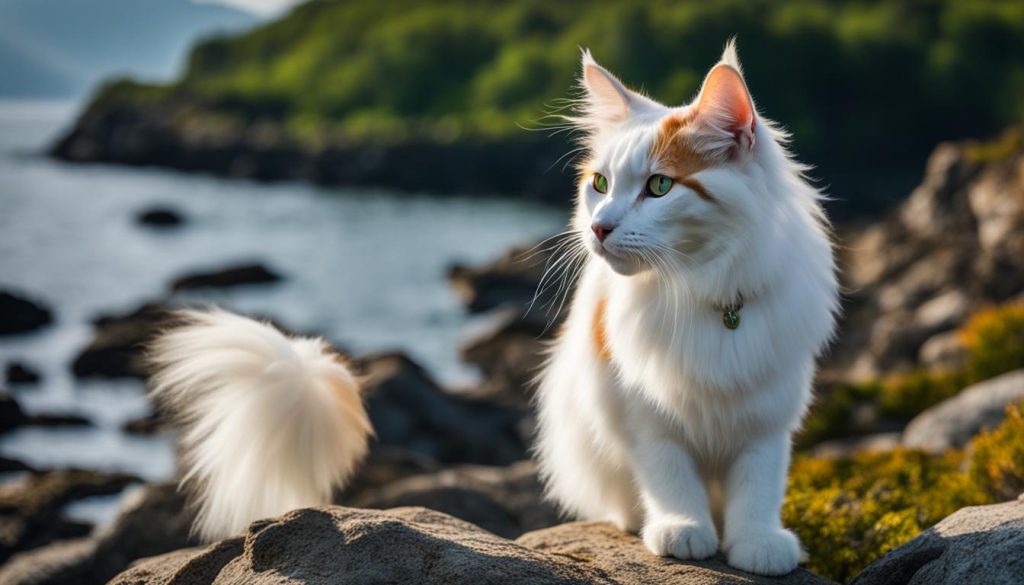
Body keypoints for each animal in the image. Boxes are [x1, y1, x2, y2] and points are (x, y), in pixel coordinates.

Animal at [532, 42, 835, 577]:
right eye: (600, 184)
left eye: (659, 187)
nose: (599, 227)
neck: (704, 289)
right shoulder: (644, 414)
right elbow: (669, 476)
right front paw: (684, 530)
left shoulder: (767, 417)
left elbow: (759, 485)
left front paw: (757, 543)